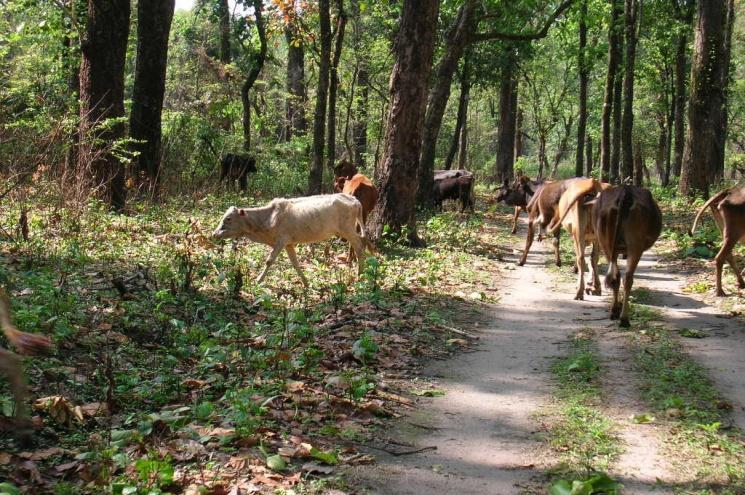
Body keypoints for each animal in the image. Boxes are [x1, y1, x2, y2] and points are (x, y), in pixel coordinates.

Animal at [211, 194, 374, 286]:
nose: (214, 233)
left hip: (347, 230)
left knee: (359, 247)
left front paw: (258, 280)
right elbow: (295, 263)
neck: (268, 218)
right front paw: (306, 283)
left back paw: (360, 275)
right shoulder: (289, 243)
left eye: (228, 218)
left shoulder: (281, 240)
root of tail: (354, 200)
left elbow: (269, 260)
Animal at [592, 185, 664, 326]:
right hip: (635, 246)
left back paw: (615, 311)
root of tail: (625, 192)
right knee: (628, 278)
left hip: (607, 244)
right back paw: (624, 318)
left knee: (616, 277)